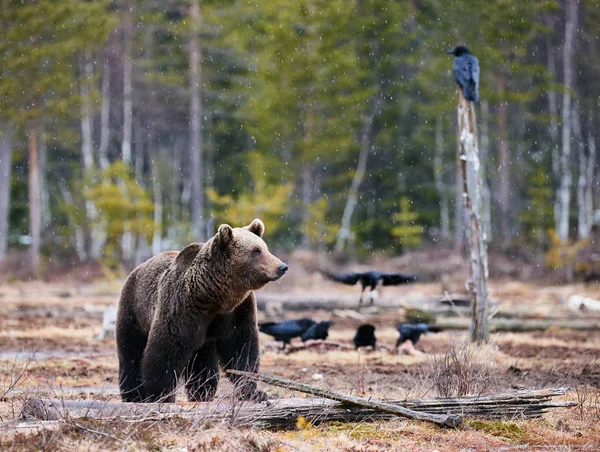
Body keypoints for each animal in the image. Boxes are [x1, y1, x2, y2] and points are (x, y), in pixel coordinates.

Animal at [116, 219, 288, 402]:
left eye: (265, 247)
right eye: (256, 250)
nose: (282, 266)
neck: (214, 297)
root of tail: (138, 268)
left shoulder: (237, 310)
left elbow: (241, 347)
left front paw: (253, 392)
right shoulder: (181, 307)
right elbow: (165, 349)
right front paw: (160, 394)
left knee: (202, 361)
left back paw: (202, 392)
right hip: (134, 310)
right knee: (131, 352)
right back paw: (133, 395)